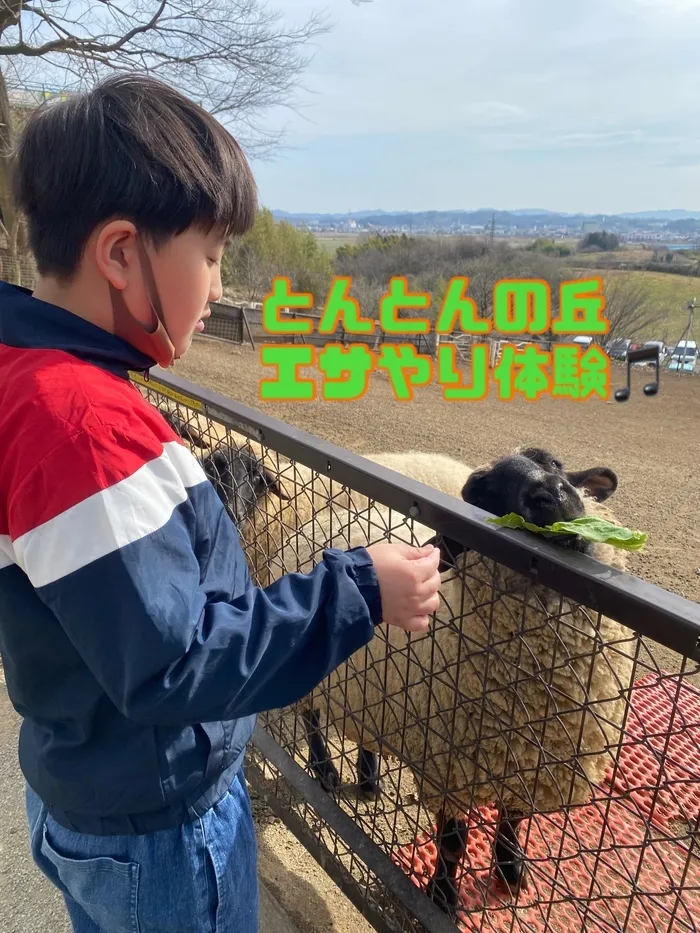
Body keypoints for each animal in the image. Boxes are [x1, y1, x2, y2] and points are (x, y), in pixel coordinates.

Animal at [274, 448, 636, 912]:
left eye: (555, 463)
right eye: (478, 494)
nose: (550, 494)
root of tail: (334, 514)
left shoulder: (525, 766)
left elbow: (512, 822)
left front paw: (510, 873)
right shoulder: (447, 770)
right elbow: (451, 843)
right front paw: (443, 896)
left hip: (373, 684)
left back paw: (370, 779)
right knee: (311, 719)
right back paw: (324, 770)